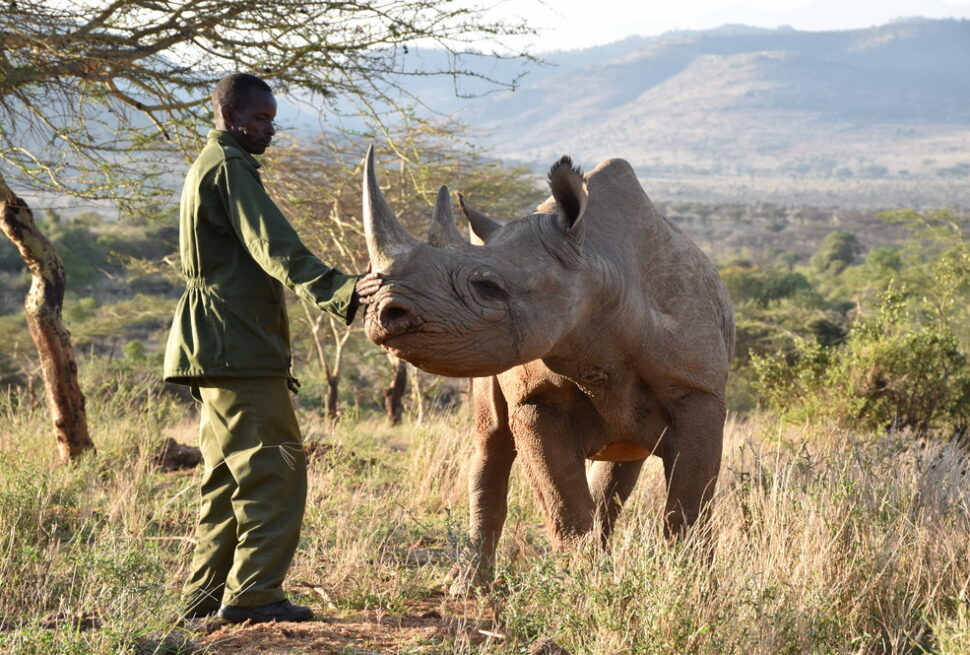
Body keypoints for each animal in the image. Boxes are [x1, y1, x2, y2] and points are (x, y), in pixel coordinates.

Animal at [360, 147, 728, 584]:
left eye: (488, 287)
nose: (381, 313)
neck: (597, 266)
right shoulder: (536, 398)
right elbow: (562, 500)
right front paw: (585, 584)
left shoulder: (697, 391)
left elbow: (690, 504)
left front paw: (691, 583)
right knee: (492, 441)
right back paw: (469, 586)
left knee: (621, 464)